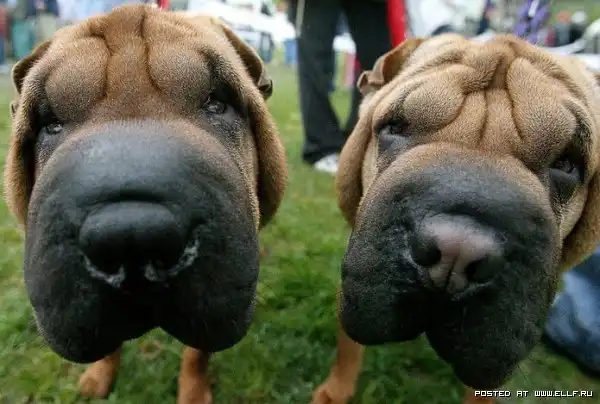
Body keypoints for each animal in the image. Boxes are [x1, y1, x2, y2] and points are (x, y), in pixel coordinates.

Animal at [3, 5, 287, 403]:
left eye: (217, 103)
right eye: (51, 124)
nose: (131, 236)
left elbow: (197, 353)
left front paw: (193, 391)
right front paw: (99, 377)